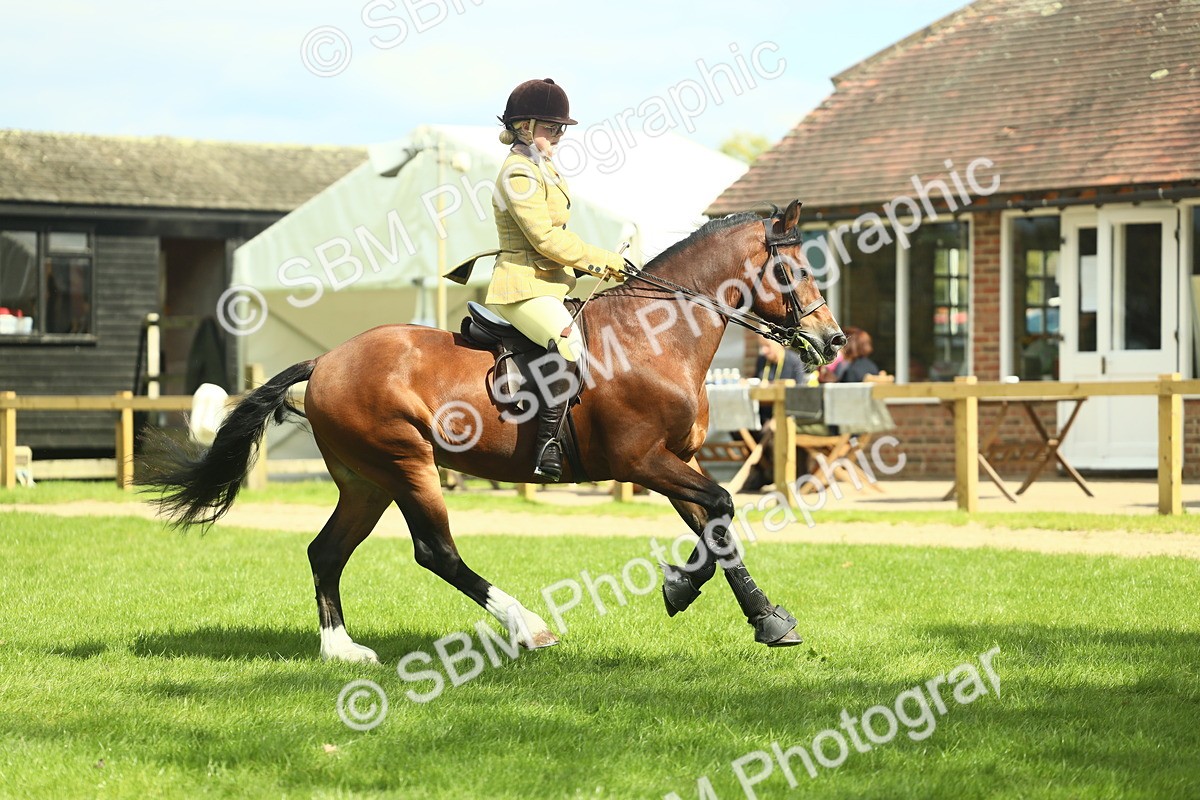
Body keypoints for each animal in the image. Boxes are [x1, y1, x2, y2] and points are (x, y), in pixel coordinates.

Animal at [141, 199, 845, 662]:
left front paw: (764, 619)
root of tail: (328, 360)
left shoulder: (676, 462)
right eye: (792, 271)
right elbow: (724, 505)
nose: (834, 340)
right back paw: (528, 627)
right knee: (435, 552)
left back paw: (343, 651)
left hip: (366, 481)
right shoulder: (642, 461)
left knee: (326, 551)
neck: (657, 336)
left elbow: (717, 529)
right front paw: (682, 589)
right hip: (407, 464)